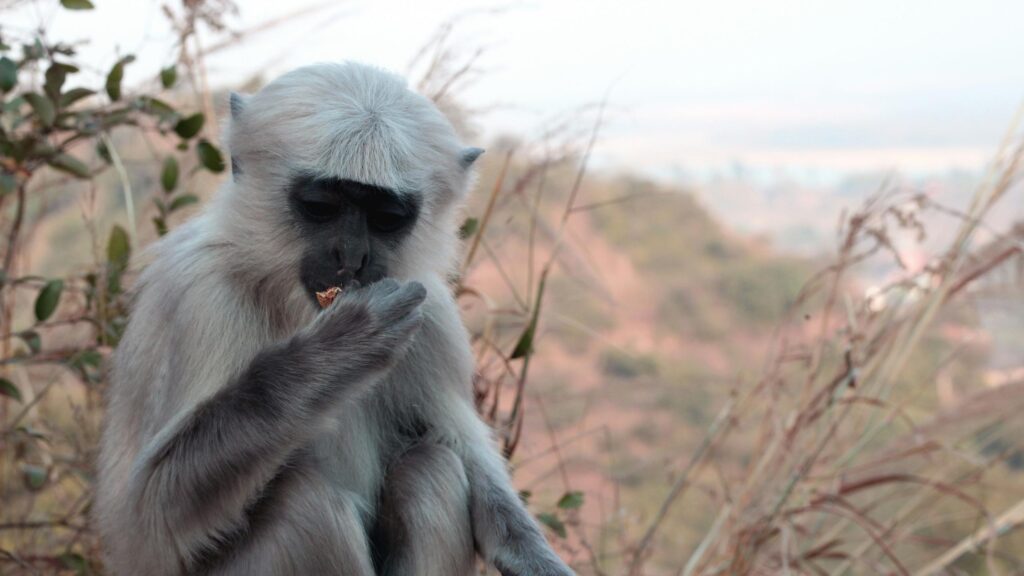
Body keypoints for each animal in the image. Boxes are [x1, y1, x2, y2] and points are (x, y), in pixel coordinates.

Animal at [93, 62, 575, 576]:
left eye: (386, 218)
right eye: (321, 207)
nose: (352, 257)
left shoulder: (431, 311)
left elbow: (471, 461)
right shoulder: (200, 292)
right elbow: (149, 517)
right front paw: (338, 353)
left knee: (432, 467)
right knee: (308, 501)